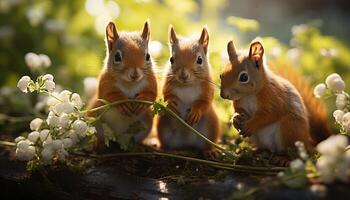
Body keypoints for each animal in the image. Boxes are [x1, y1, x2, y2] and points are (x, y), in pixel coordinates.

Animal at [87, 20, 158, 148]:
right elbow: (108, 95)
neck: (130, 83)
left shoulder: (151, 80)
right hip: (95, 118)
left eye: (148, 56)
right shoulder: (105, 82)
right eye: (117, 57)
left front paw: (142, 100)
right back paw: (98, 144)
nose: (135, 74)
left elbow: (152, 93)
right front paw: (122, 103)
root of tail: (118, 139)